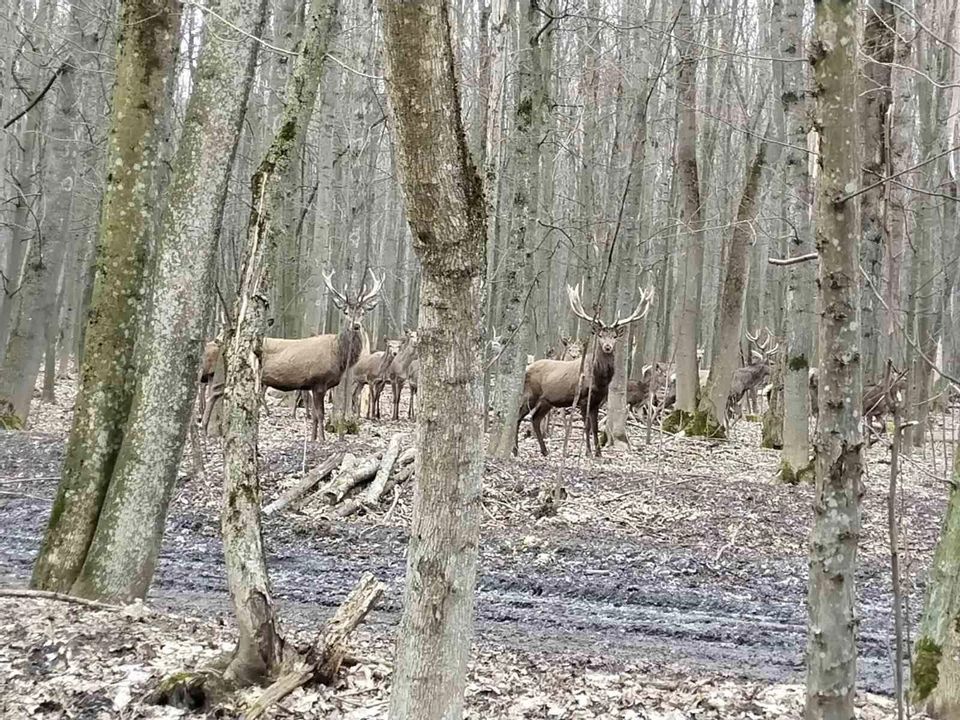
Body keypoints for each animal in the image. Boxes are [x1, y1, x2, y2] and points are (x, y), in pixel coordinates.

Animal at [197, 268, 380, 442]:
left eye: (363, 312)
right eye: (346, 312)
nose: (356, 325)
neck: (338, 353)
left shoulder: (313, 385)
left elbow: (314, 415)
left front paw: (313, 438)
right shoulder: (319, 381)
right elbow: (320, 414)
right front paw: (322, 439)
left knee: (215, 392)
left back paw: (206, 427)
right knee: (214, 392)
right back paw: (204, 427)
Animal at [512, 286, 656, 456]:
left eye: (614, 336)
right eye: (600, 335)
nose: (608, 347)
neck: (599, 379)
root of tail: (527, 368)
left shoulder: (597, 401)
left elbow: (595, 427)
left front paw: (598, 453)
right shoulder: (582, 399)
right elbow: (587, 427)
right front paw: (587, 452)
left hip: (546, 400)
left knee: (535, 418)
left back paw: (545, 451)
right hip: (531, 394)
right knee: (518, 416)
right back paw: (515, 450)